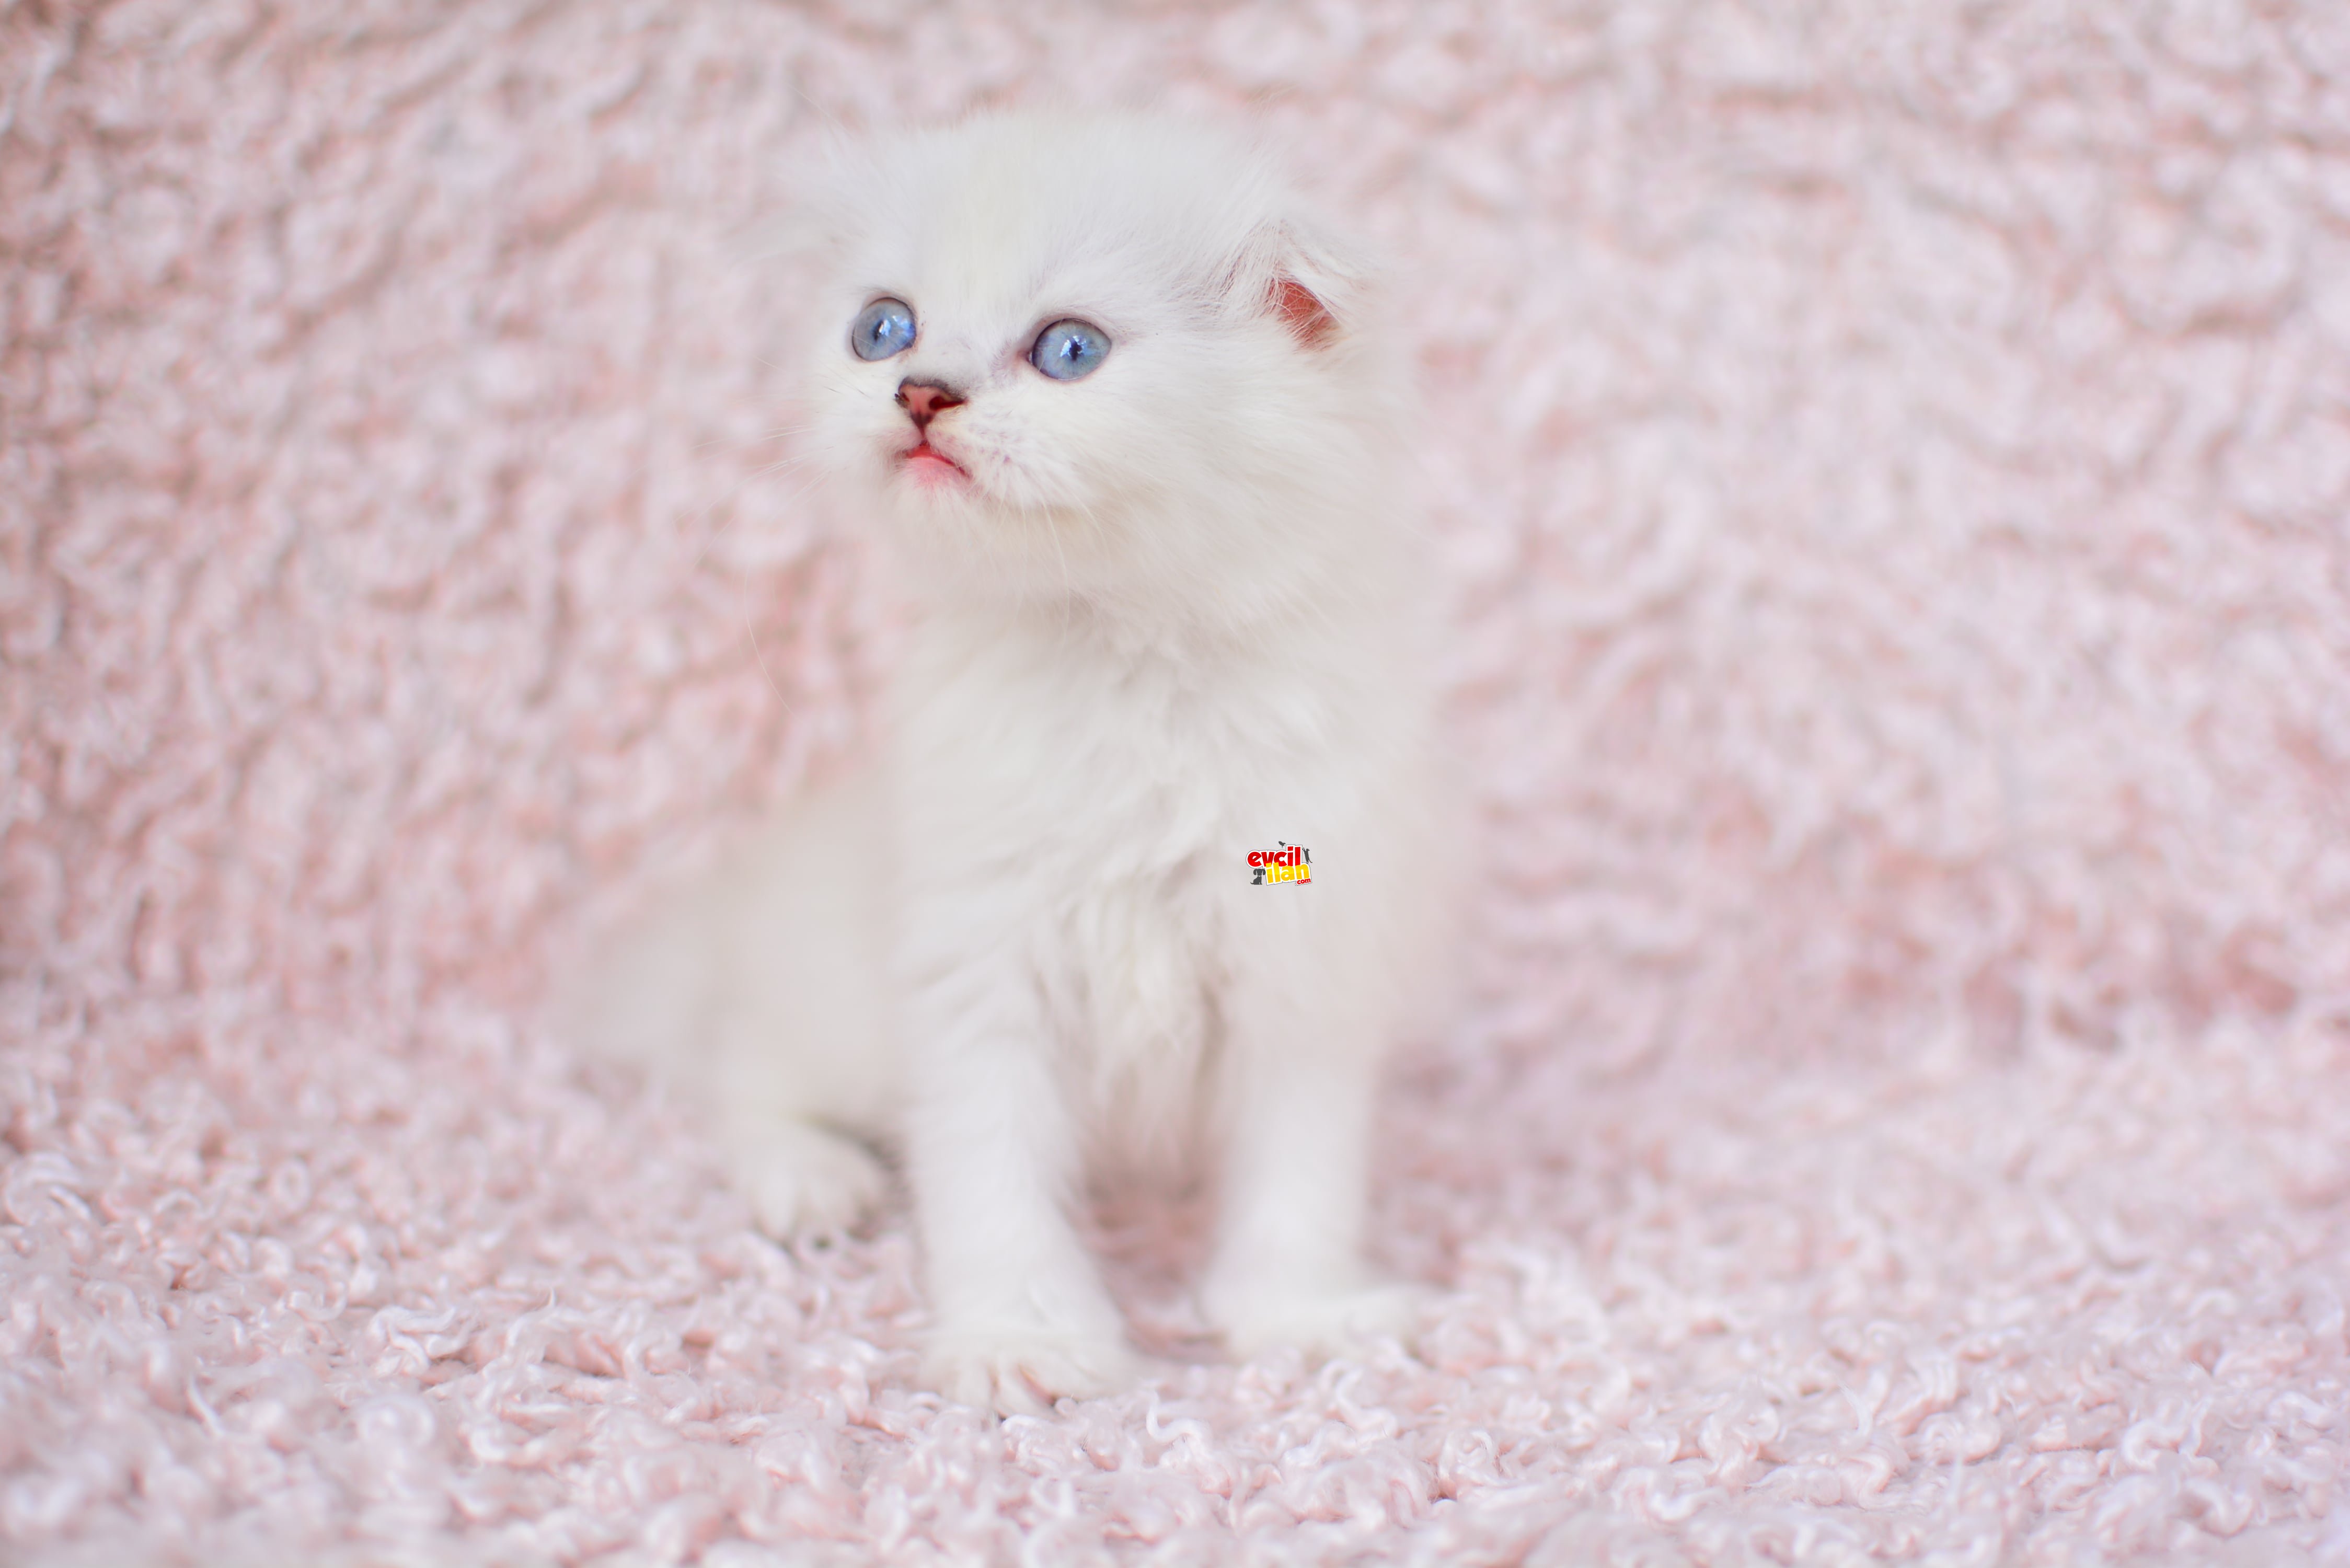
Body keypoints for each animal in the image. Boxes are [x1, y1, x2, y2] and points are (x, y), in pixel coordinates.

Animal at [571, 107, 1447, 1410]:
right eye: (883, 328)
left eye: (1068, 350)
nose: (919, 392)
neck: (1123, 659)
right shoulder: (975, 964)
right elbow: (992, 1185)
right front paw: (1022, 1345)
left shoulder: (1300, 961)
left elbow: (1297, 1183)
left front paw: (1300, 1317)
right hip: (827, 1009)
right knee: (741, 1074)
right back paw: (808, 1181)